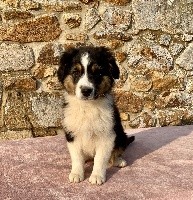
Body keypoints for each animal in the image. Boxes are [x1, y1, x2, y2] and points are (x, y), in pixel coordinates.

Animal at [57, 46, 134, 185]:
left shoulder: (107, 135)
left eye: (98, 73)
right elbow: (77, 157)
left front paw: (97, 176)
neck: (88, 107)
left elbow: (100, 159)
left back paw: (118, 161)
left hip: (120, 135)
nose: (86, 91)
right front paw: (76, 174)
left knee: (117, 150)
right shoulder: (72, 134)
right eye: (76, 72)